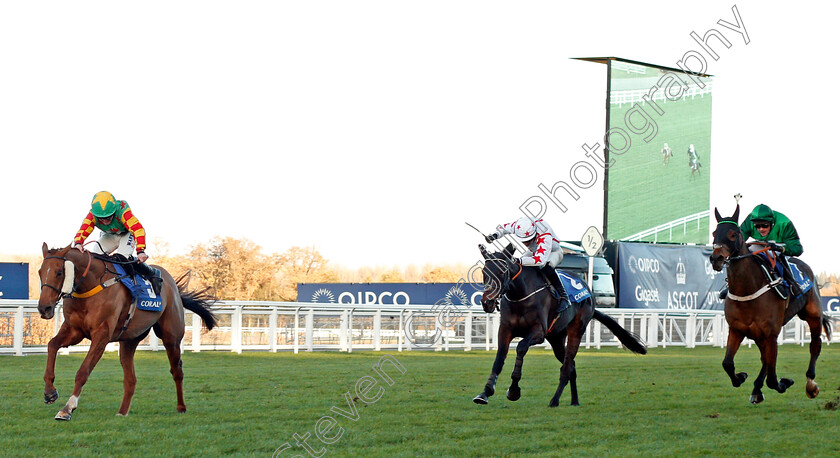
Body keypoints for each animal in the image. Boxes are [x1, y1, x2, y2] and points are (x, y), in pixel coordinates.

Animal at [39, 245, 217, 420]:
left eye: (59, 272)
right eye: (40, 272)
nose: (44, 308)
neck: (90, 285)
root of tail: (173, 286)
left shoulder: (101, 335)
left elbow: (83, 371)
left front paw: (68, 408)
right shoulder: (74, 330)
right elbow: (52, 345)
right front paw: (49, 392)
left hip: (171, 337)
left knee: (177, 371)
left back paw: (181, 407)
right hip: (129, 340)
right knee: (131, 379)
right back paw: (122, 412)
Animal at [472, 245, 644, 406]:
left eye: (502, 272)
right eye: (484, 272)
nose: (487, 302)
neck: (521, 295)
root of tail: (588, 291)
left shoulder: (538, 332)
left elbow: (521, 347)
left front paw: (514, 390)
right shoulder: (505, 330)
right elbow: (499, 359)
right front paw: (485, 392)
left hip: (576, 330)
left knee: (567, 367)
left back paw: (554, 400)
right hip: (556, 338)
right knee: (572, 366)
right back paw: (574, 401)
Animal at [708, 208, 832, 404]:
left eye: (733, 234)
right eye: (714, 233)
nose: (716, 258)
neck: (748, 290)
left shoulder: (771, 334)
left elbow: (773, 380)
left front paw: (785, 382)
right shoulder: (736, 330)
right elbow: (727, 363)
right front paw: (741, 377)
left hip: (812, 315)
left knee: (815, 345)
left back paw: (810, 384)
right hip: (759, 335)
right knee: (764, 359)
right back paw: (756, 389)